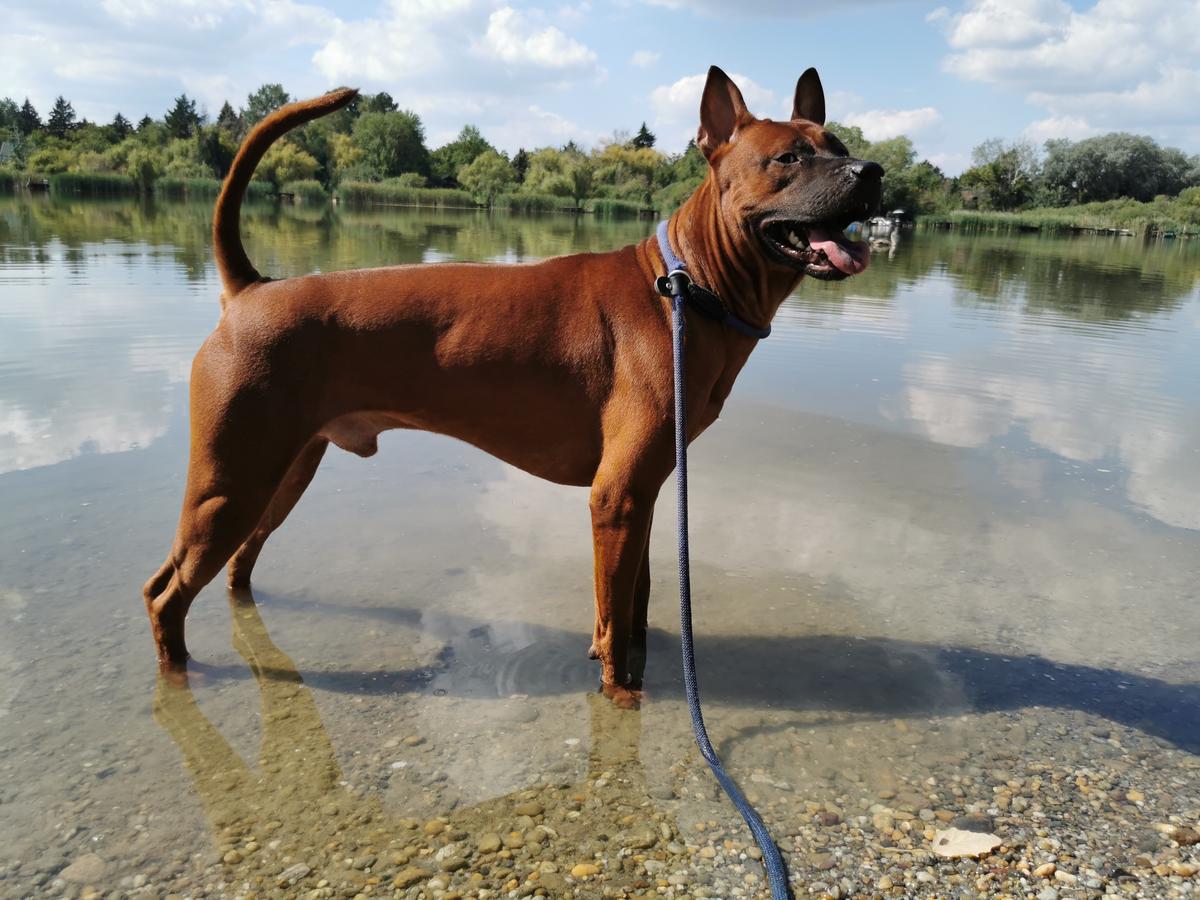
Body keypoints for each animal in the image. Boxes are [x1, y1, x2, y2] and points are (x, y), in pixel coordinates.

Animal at [145, 66, 888, 710]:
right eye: (788, 159)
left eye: (840, 148)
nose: (873, 172)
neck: (684, 286)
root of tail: (252, 288)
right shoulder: (617, 496)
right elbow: (614, 617)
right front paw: (621, 694)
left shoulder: (643, 492)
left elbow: (633, 600)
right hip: (230, 484)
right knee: (164, 591)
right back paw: (179, 674)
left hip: (279, 474)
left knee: (235, 565)